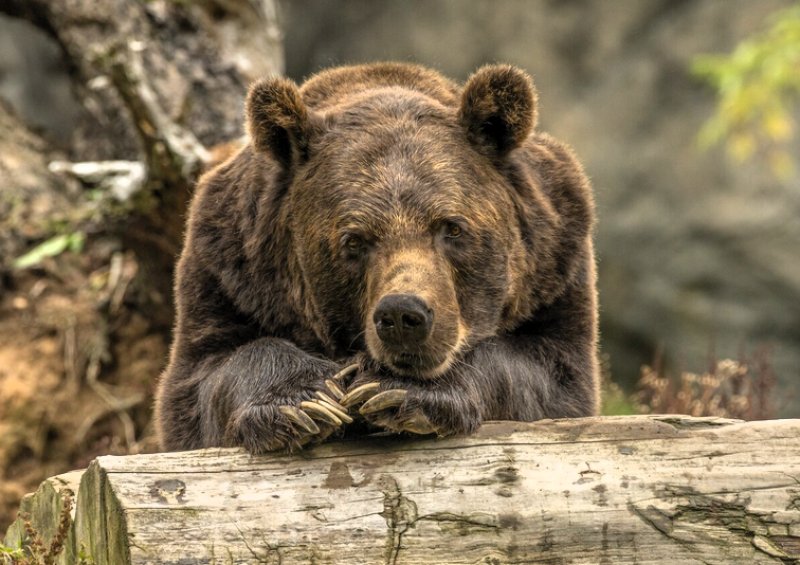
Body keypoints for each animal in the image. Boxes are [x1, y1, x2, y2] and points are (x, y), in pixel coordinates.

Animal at [155, 62, 599, 454]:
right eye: (354, 240)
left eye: (452, 227)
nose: (403, 315)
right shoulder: (229, 272)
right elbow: (205, 378)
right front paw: (306, 401)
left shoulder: (555, 266)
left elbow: (550, 376)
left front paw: (398, 390)